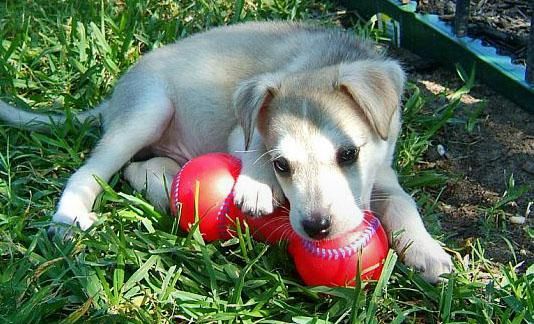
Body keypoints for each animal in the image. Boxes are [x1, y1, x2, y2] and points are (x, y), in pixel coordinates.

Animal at [0, 21, 452, 282]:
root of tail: (111, 101)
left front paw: (429, 253)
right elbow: (254, 149)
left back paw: (165, 189)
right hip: (149, 110)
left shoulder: (384, 173)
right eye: (282, 165)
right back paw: (70, 217)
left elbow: (404, 204)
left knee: (139, 169)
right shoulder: (241, 132)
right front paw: (256, 186)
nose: (316, 229)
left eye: (348, 156)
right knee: (92, 171)